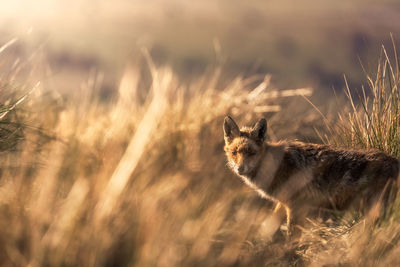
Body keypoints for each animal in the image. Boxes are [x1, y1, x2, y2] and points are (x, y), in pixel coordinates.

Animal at [223, 116, 398, 236]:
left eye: (251, 153)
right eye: (234, 153)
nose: (240, 169)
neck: (276, 165)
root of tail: (394, 160)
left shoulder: (295, 205)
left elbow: (291, 236)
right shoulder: (286, 203)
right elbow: (272, 223)